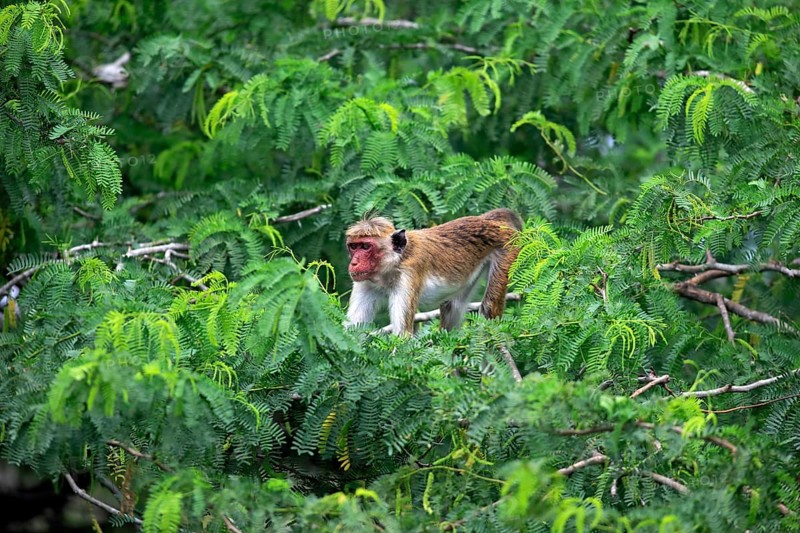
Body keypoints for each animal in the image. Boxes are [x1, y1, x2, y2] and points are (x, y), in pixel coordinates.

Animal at [344, 208, 523, 335]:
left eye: (366, 247)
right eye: (353, 246)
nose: (354, 263)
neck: (394, 263)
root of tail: (490, 221)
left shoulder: (408, 275)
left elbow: (402, 336)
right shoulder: (365, 282)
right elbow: (353, 333)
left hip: (506, 247)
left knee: (488, 307)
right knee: (452, 307)